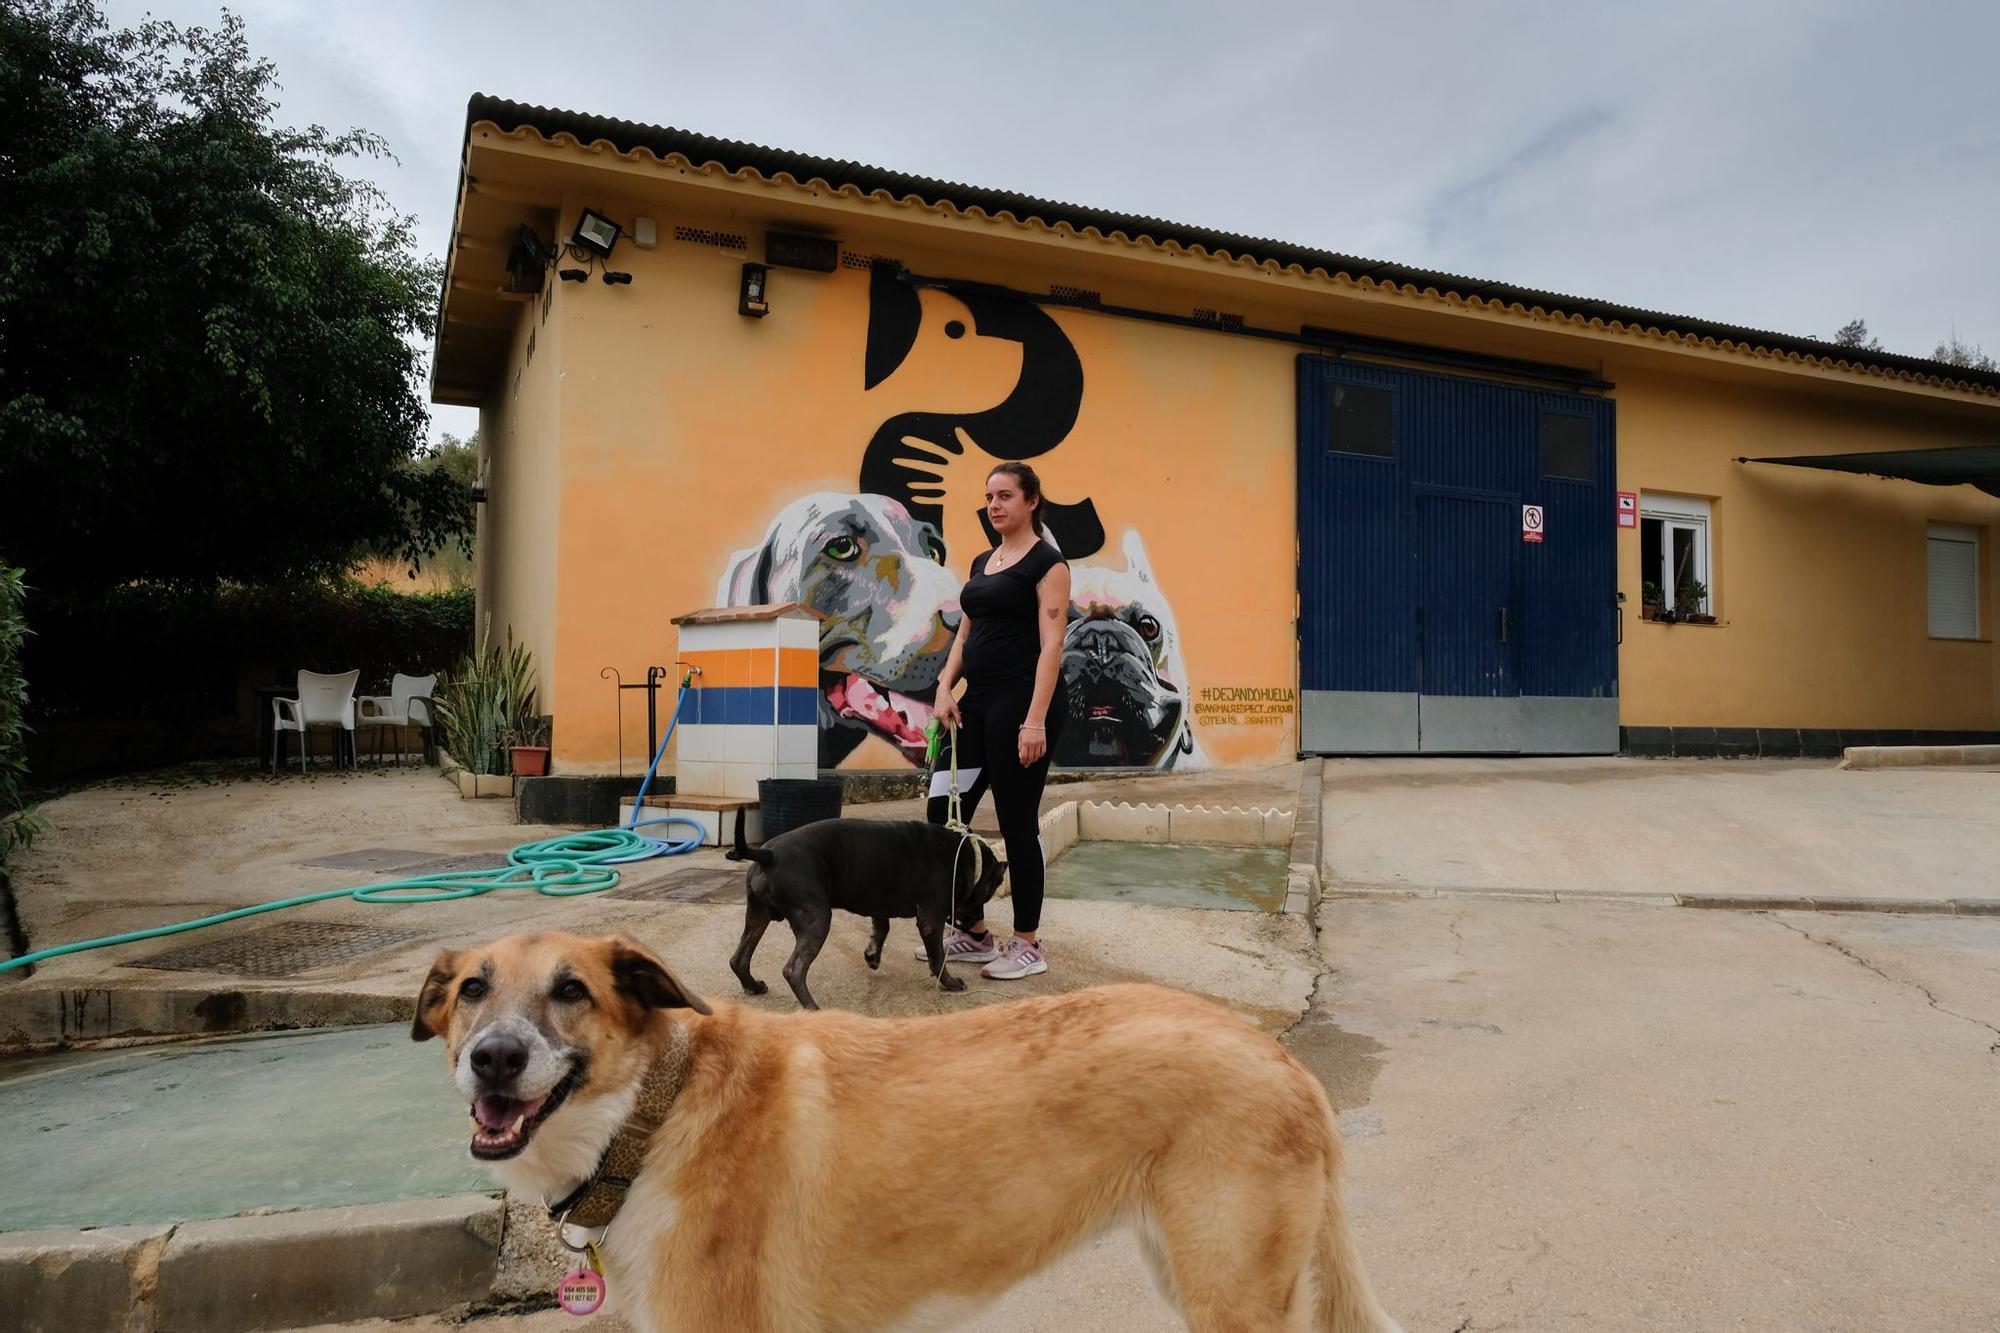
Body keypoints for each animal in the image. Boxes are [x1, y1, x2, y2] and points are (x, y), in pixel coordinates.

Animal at [414, 928, 1400, 1320]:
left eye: (572, 990)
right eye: (473, 989)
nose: (493, 1058)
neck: (651, 1119)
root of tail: (1281, 1058)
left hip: (1229, 1295)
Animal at [724, 808, 1008, 1008]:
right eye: (984, 898)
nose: (975, 925)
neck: (965, 857)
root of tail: (768, 855)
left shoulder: (878, 901)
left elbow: (882, 928)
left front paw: (872, 955)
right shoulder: (931, 920)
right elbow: (938, 956)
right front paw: (949, 983)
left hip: (757, 916)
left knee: (739, 958)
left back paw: (754, 986)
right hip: (816, 919)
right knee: (793, 970)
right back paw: (812, 1008)